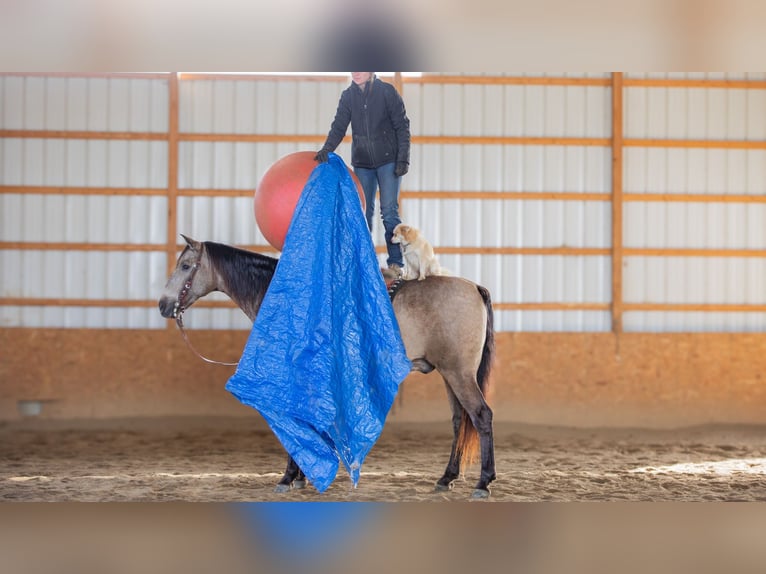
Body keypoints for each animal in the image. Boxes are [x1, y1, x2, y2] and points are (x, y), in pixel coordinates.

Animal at [159, 234, 500, 500]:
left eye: (186, 266)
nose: (164, 305)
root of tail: (475, 287)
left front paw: (288, 477)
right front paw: (301, 477)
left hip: (458, 373)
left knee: (481, 416)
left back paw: (483, 482)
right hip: (449, 373)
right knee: (459, 420)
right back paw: (446, 478)